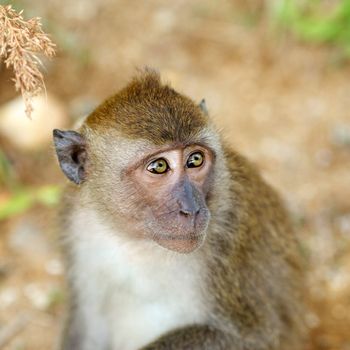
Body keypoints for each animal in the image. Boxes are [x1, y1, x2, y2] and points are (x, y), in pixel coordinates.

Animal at [53, 69, 304, 348]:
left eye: (195, 160)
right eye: (159, 166)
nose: (191, 209)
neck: (139, 242)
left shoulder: (233, 233)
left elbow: (254, 337)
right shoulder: (78, 225)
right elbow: (88, 329)